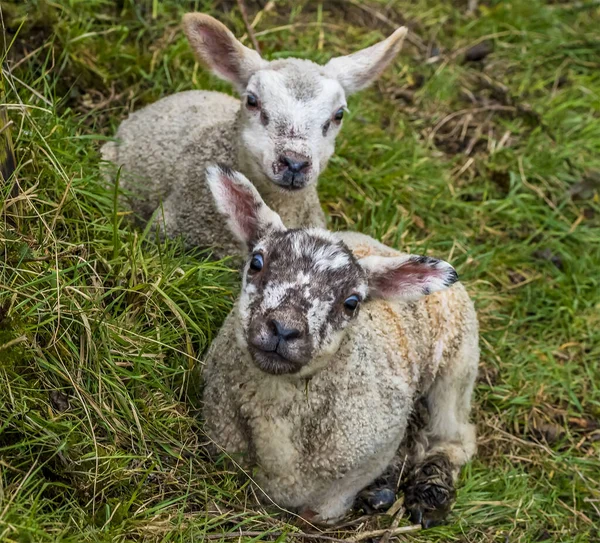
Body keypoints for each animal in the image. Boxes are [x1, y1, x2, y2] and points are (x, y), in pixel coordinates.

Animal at [202, 165, 478, 528]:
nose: (283, 329)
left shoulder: (365, 461)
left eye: (352, 303)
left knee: (454, 438)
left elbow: (316, 516)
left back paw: (429, 495)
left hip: (457, 370)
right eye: (257, 262)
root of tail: (386, 248)